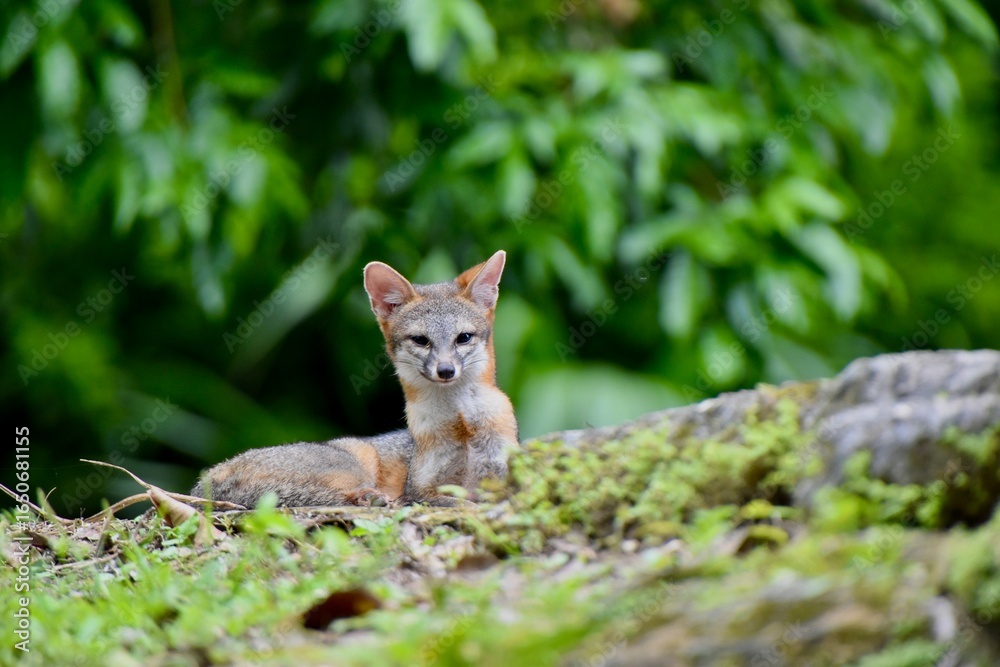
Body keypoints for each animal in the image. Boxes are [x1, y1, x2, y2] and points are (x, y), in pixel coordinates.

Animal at [190, 250, 519, 508]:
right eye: (421, 340)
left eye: (463, 338)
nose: (446, 370)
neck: (462, 425)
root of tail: (212, 474)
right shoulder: (419, 491)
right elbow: (453, 501)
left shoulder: (499, 476)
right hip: (356, 465)